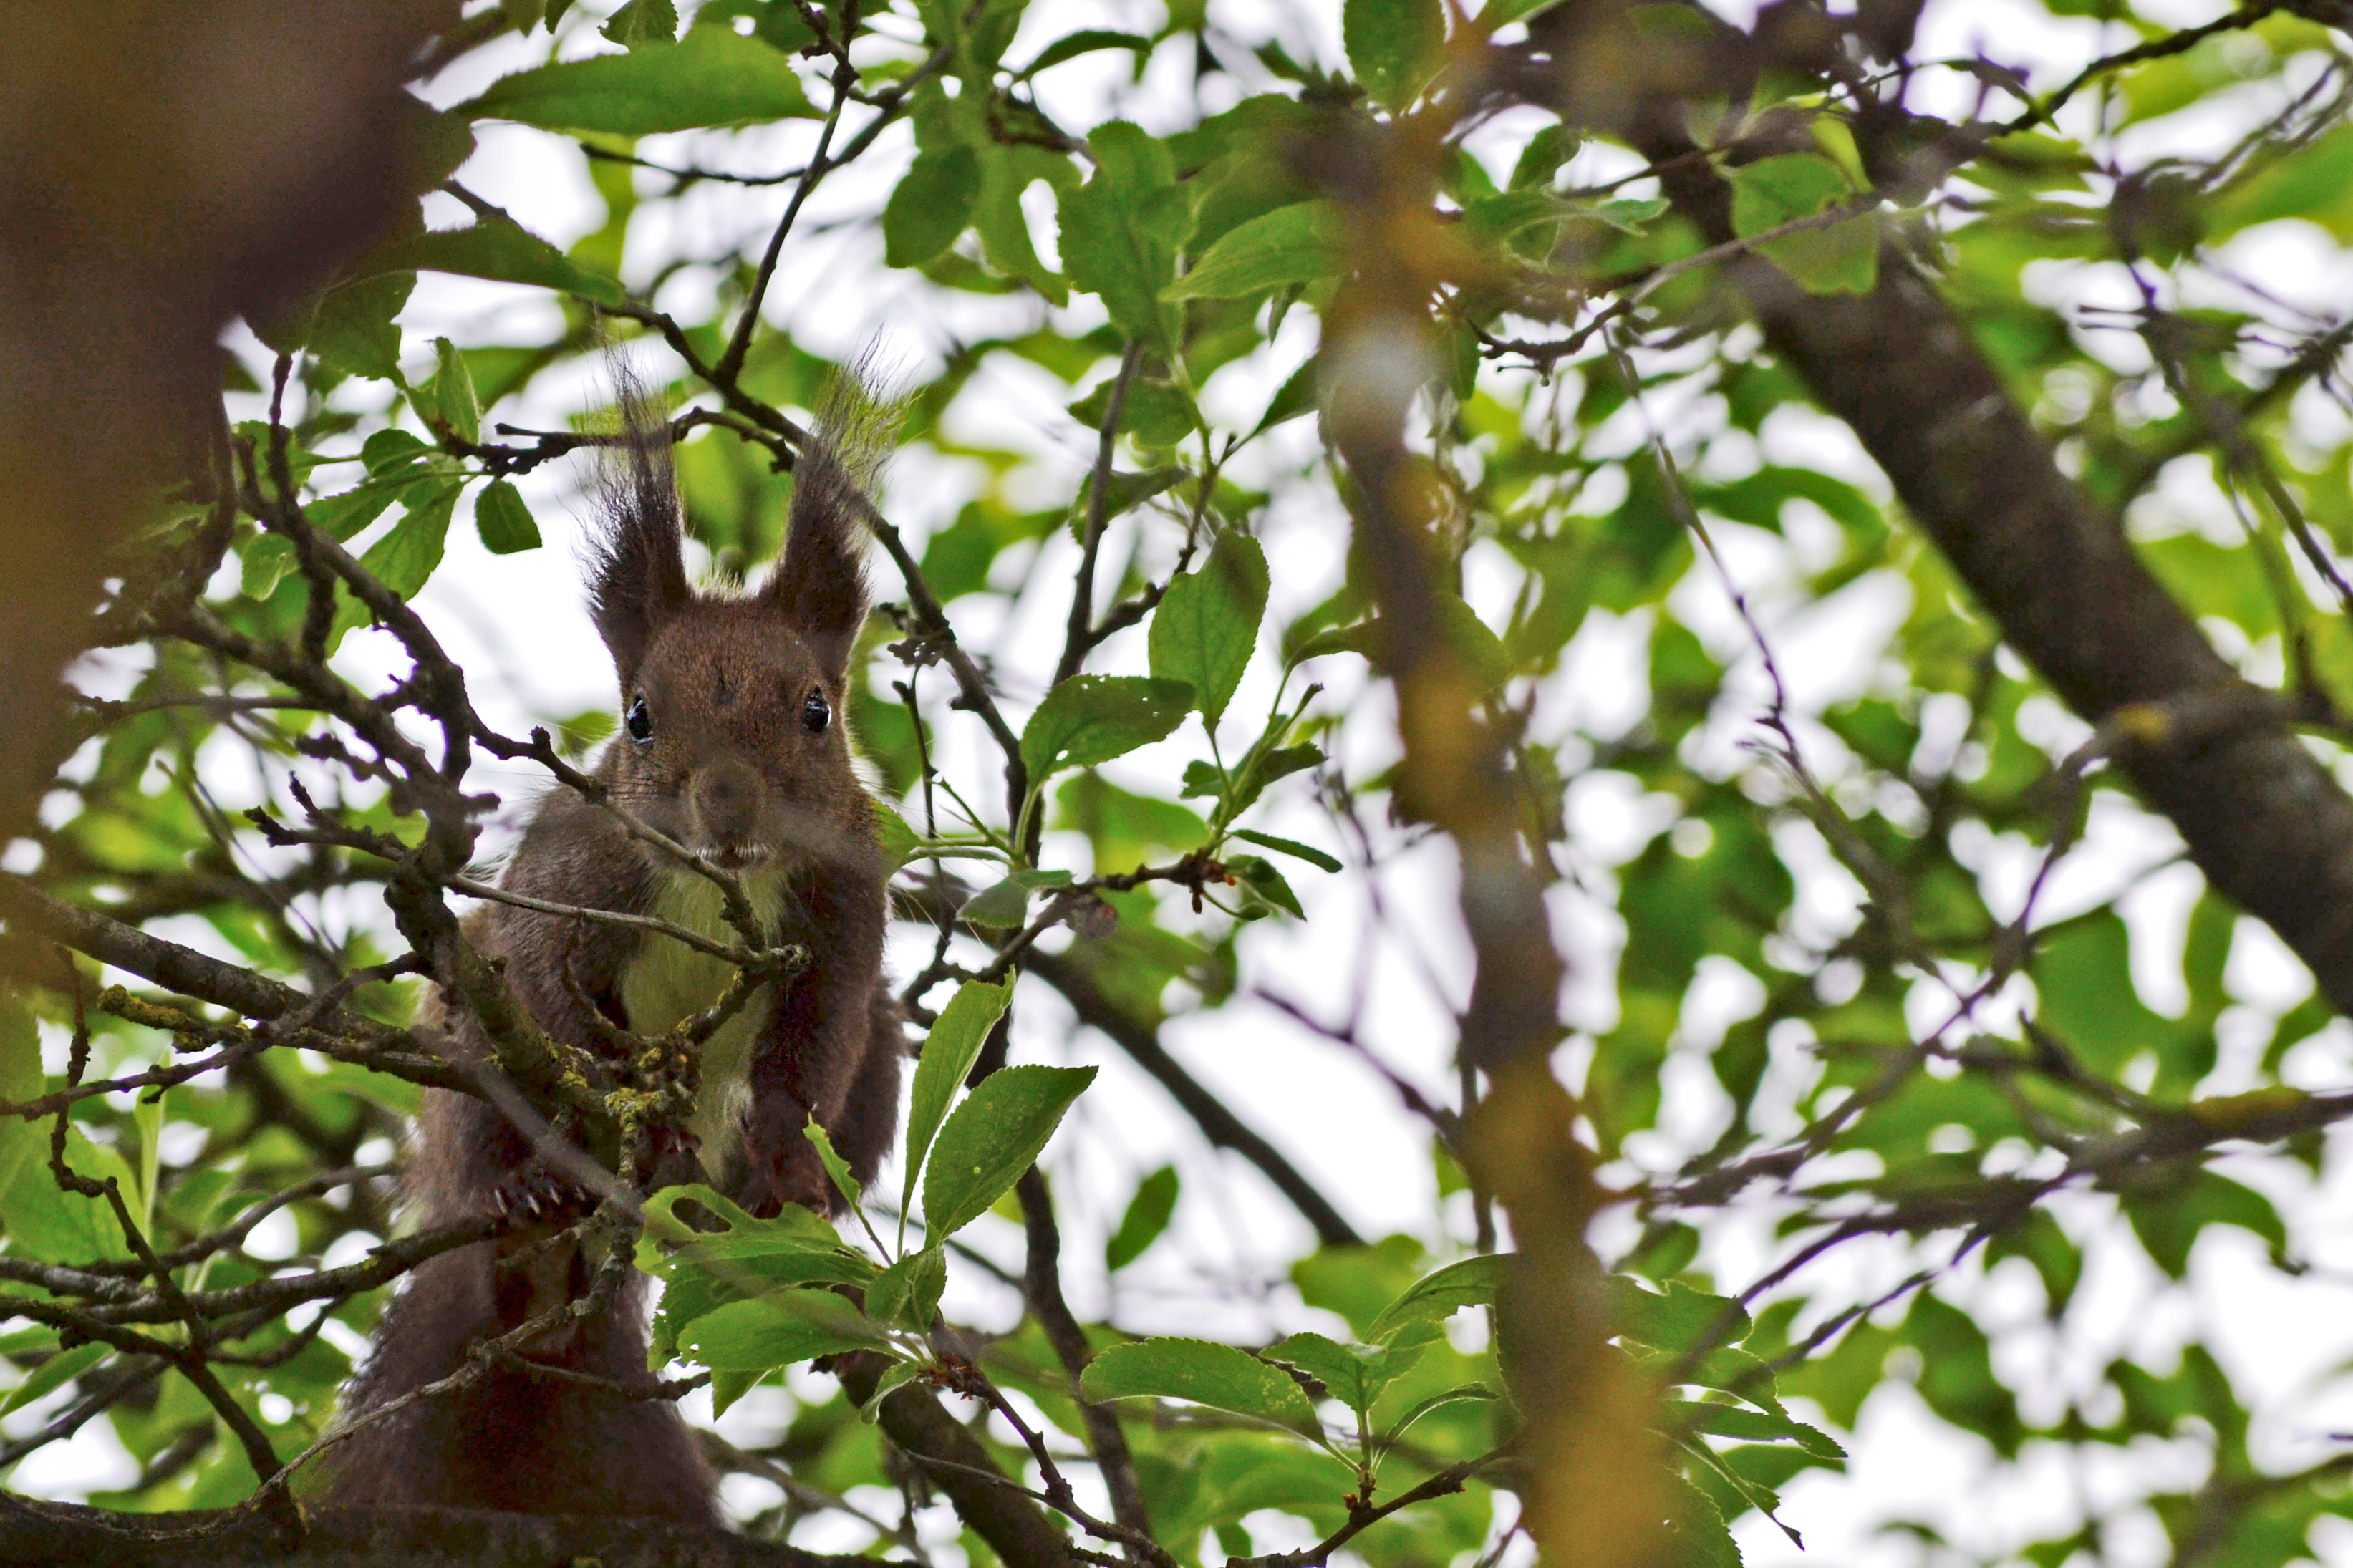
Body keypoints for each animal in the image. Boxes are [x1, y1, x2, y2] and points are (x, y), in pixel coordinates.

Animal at [329, 362, 908, 1516]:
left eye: (816, 711)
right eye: (638, 716)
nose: (725, 809)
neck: (723, 888)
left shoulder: (844, 918)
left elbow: (818, 1041)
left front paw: (784, 1162)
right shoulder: (565, 891)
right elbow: (553, 1007)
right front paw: (648, 1130)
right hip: (459, 1058)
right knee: (483, 1142)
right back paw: (524, 1197)